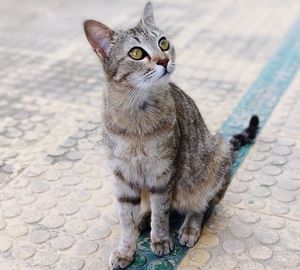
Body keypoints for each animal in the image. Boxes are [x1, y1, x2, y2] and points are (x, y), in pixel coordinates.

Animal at [83, 2, 258, 268]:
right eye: (136, 53)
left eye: (163, 43)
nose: (164, 60)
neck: (137, 115)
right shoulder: (123, 176)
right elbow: (126, 219)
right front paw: (126, 250)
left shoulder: (163, 172)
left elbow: (161, 211)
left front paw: (161, 239)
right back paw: (142, 218)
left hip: (213, 161)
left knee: (200, 205)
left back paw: (188, 228)